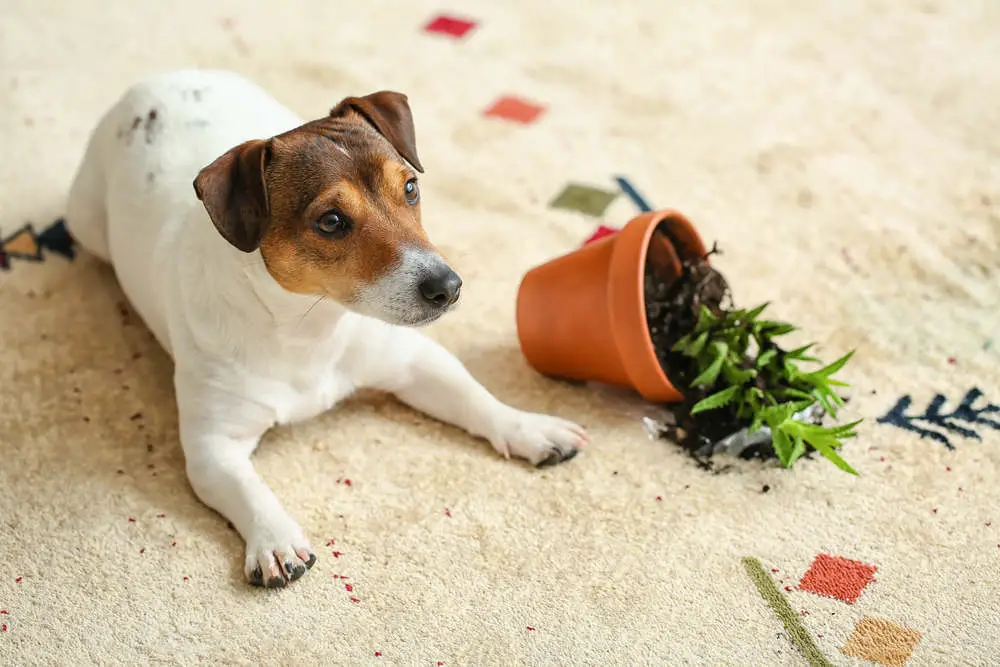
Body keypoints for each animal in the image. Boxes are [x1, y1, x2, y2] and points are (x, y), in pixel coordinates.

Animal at [64, 70, 584, 588]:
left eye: (410, 188)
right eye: (331, 221)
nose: (448, 287)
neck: (310, 327)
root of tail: (163, 78)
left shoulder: (414, 362)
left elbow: (475, 397)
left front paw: (529, 427)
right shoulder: (213, 445)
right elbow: (248, 488)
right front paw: (274, 538)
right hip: (85, 221)